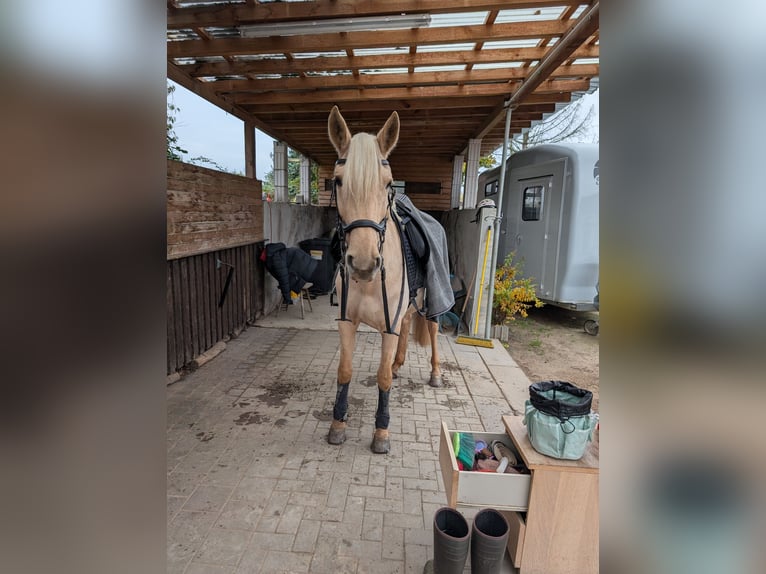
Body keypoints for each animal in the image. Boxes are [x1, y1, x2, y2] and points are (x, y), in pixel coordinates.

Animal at [326, 107, 444, 454]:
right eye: (338, 181)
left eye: (388, 184)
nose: (364, 264)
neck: (367, 284)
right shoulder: (347, 322)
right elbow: (344, 371)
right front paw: (337, 425)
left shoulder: (387, 327)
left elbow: (382, 379)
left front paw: (381, 432)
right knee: (406, 324)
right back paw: (399, 362)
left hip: (432, 301)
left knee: (433, 329)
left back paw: (435, 373)